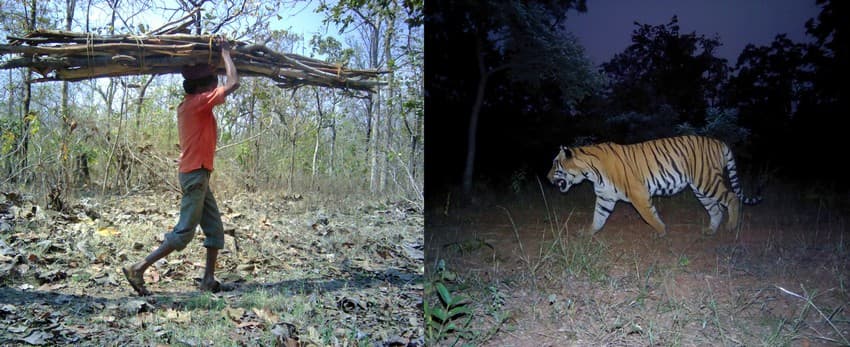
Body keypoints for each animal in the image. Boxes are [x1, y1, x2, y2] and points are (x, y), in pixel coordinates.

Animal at [548, 135, 760, 238]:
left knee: (732, 198)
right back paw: (710, 231)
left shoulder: (638, 193)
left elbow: (648, 215)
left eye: (555, 164)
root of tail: (719, 142)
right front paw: (588, 233)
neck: (590, 173)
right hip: (701, 188)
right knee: (716, 209)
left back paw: (731, 227)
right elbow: (598, 217)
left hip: (707, 181)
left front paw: (661, 231)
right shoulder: (605, 197)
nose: (547, 178)